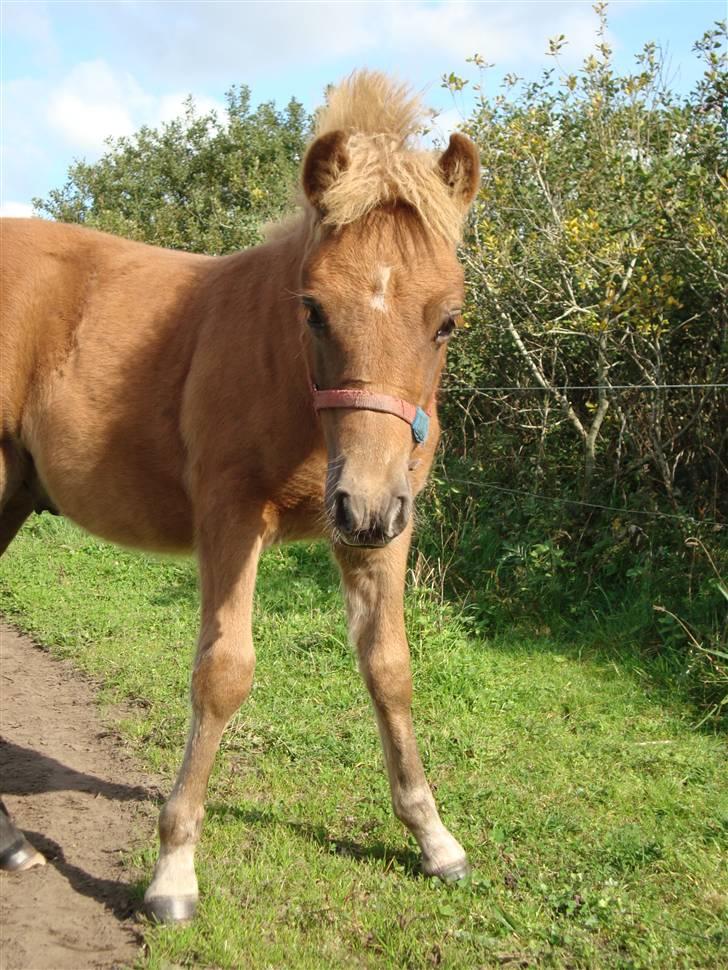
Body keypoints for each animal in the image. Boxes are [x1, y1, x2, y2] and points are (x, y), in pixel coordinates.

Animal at [1, 72, 484, 920]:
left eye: (447, 321)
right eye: (313, 309)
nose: (362, 505)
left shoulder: (383, 530)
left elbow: (390, 668)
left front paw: (436, 840)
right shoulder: (231, 518)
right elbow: (223, 674)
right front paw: (173, 873)